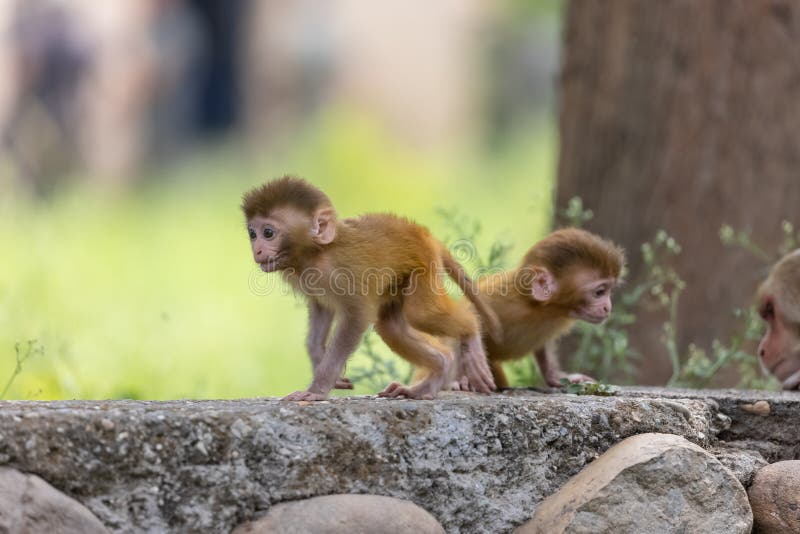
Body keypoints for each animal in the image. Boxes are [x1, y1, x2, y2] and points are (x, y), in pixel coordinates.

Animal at [241, 176, 501, 401]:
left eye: (268, 233)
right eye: (253, 234)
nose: (257, 250)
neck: (317, 253)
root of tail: (423, 233)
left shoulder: (342, 274)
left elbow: (357, 317)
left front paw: (317, 389)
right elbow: (322, 310)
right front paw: (318, 358)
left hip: (425, 264)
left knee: (421, 313)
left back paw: (470, 333)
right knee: (391, 327)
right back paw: (437, 371)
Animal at [416, 228, 625, 390]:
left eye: (609, 291)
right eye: (599, 292)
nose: (607, 307)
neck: (542, 307)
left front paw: (556, 376)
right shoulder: (503, 297)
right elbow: (468, 313)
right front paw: (461, 376)